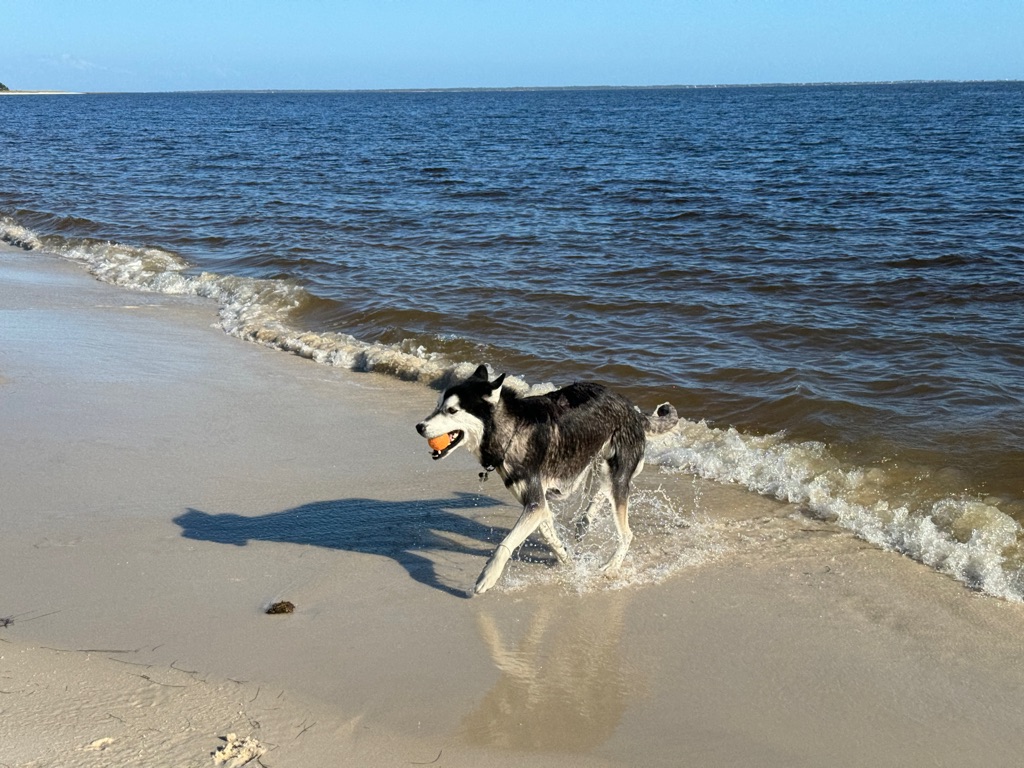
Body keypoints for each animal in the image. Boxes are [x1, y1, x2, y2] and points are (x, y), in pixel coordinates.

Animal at [416, 365, 678, 594]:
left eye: (452, 411)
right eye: (438, 406)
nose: (419, 426)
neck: (512, 430)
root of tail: (631, 407)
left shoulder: (534, 503)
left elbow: (507, 542)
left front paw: (487, 576)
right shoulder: (537, 504)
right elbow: (549, 535)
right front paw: (567, 559)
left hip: (616, 471)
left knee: (625, 530)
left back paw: (611, 566)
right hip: (598, 464)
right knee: (601, 492)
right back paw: (585, 523)